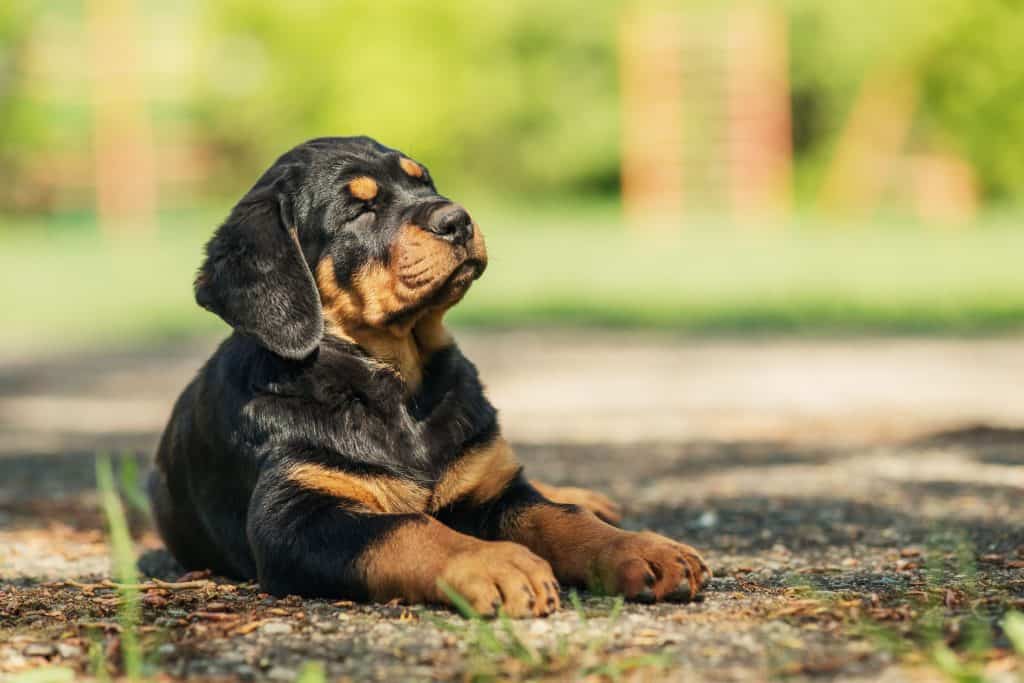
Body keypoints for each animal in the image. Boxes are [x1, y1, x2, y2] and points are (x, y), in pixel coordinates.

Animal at [149, 136, 712, 618]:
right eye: (359, 209)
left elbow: (559, 516)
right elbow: (407, 528)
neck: (398, 387)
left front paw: (642, 548)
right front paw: (495, 562)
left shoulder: (490, 491)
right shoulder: (292, 516)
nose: (457, 219)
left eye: (423, 182)